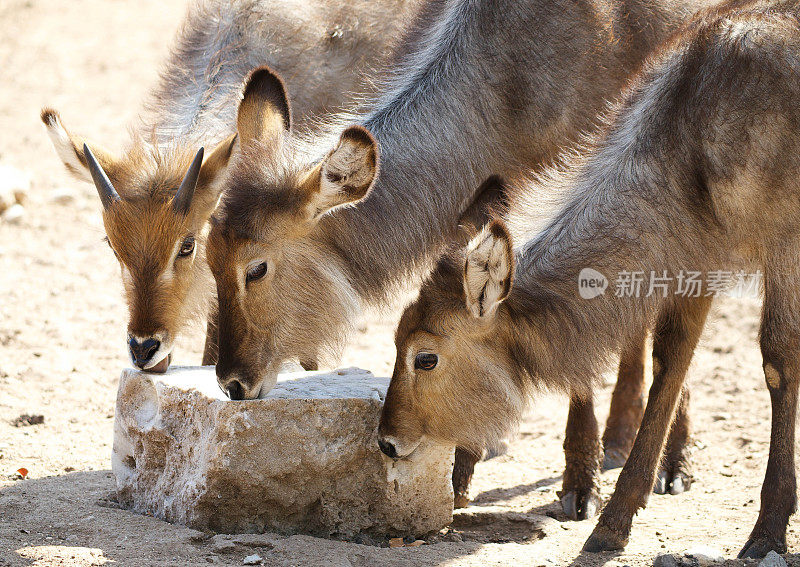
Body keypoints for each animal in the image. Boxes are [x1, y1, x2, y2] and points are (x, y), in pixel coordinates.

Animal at [208, 0, 720, 516]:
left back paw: (669, 460)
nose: (232, 384)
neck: (509, 85)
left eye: (256, 268)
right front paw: (460, 469)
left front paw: (581, 485)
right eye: (209, 258)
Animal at [378, 0, 800, 560]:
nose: (386, 440)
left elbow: (778, 361)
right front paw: (613, 522)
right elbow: (672, 362)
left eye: (425, 356)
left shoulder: (783, 243)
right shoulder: (700, 255)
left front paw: (768, 529)